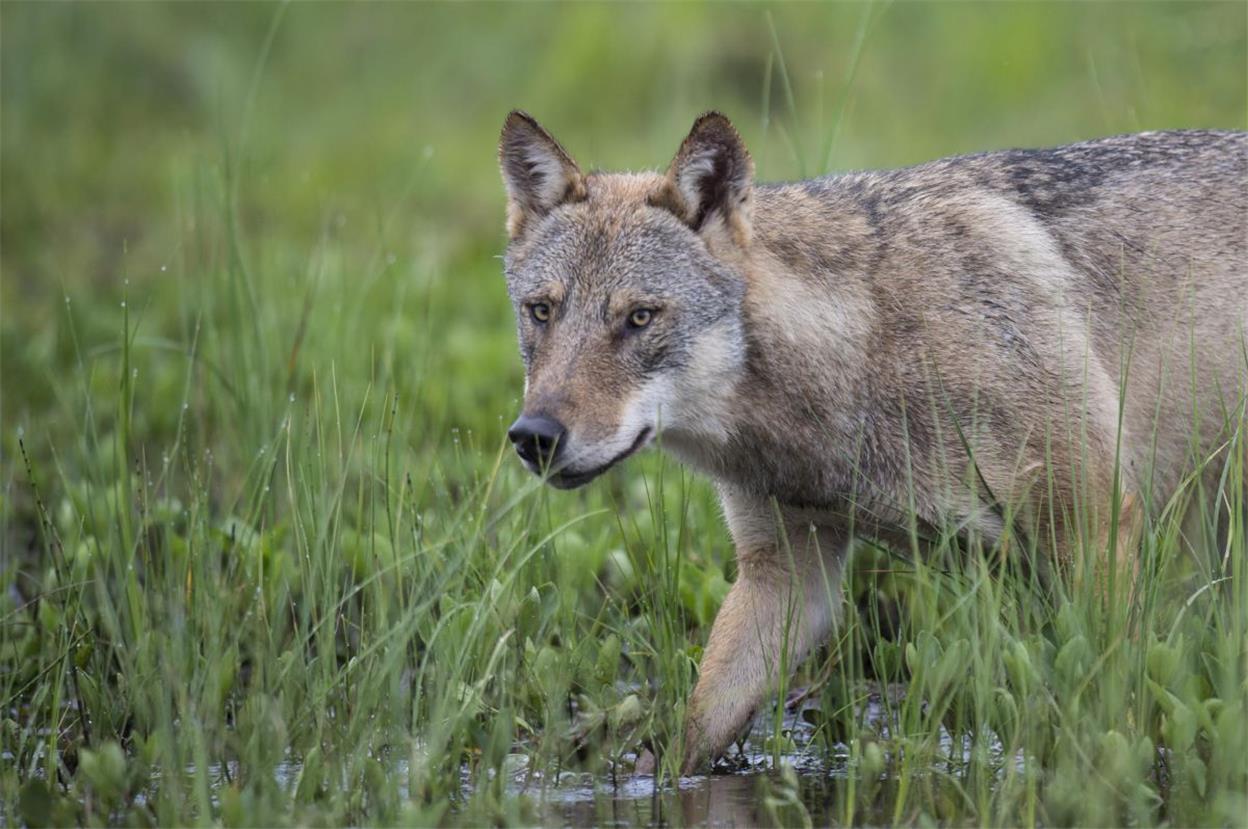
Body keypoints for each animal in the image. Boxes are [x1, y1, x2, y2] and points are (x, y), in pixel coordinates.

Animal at [496, 110, 1247, 774]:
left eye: (639, 317)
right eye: (542, 311)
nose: (533, 437)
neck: (862, 345)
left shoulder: (1096, 529)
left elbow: (1115, 714)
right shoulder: (785, 573)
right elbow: (697, 728)